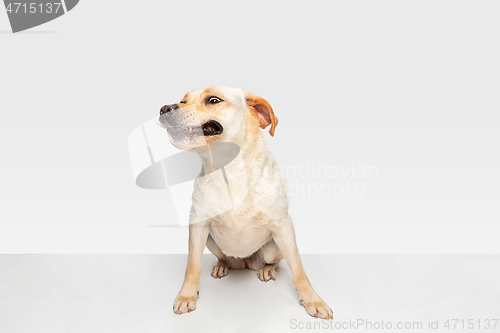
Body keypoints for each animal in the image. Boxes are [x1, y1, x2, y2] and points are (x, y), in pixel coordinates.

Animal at [158, 86, 334, 320]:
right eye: (183, 100)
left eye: (213, 100)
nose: (164, 108)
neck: (230, 172)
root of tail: (244, 262)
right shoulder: (198, 225)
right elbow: (192, 266)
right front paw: (187, 295)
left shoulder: (283, 226)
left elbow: (298, 269)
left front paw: (313, 300)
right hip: (211, 241)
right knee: (223, 258)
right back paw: (222, 265)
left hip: (273, 246)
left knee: (276, 261)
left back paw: (267, 269)